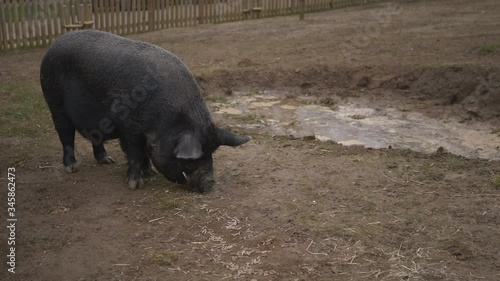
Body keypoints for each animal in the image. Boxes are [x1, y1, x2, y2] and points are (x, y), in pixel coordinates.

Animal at [40, 30, 250, 192]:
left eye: (211, 154)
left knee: (95, 137)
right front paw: (135, 185)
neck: (166, 120)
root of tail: (53, 45)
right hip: (54, 102)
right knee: (66, 136)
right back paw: (72, 168)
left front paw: (150, 172)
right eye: (189, 162)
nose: (210, 184)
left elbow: (146, 153)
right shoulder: (129, 129)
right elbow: (135, 154)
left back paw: (107, 160)